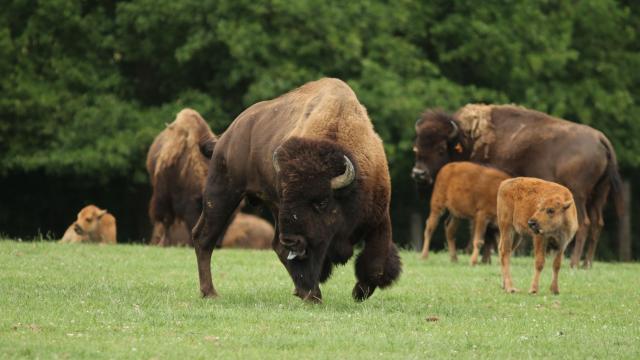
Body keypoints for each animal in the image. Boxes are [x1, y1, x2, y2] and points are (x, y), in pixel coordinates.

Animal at [192, 77, 400, 302]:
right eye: (286, 197)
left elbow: (376, 264)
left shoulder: (379, 218)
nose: (292, 240)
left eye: (322, 202)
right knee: (205, 239)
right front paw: (315, 294)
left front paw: (359, 292)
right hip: (222, 193)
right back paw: (210, 292)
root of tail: (227, 135)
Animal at [412, 103, 624, 268]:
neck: (469, 138)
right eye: (417, 147)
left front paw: (485, 259)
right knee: (597, 224)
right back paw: (586, 263)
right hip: (599, 195)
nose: (418, 174)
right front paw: (487, 259)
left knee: (584, 223)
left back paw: (573, 262)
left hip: (578, 196)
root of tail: (601, 139)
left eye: (440, 148)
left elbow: (487, 230)